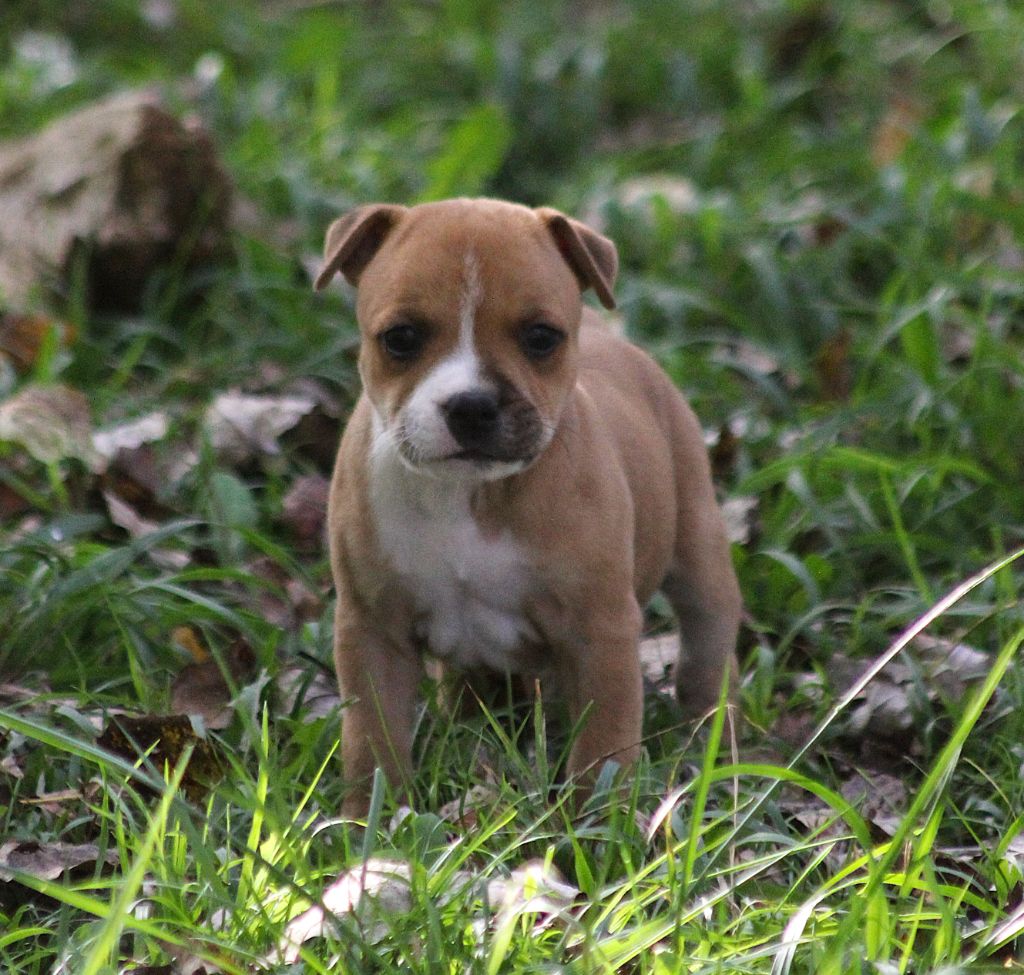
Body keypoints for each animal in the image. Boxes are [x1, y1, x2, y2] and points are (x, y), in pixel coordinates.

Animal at [315, 197, 741, 815]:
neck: (471, 494)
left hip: (699, 552)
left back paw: (716, 746)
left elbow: (604, 744)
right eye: (400, 338)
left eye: (541, 337)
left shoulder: (600, 631)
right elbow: (371, 738)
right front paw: (369, 821)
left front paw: (599, 823)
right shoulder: (372, 629)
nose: (471, 405)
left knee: (707, 651)